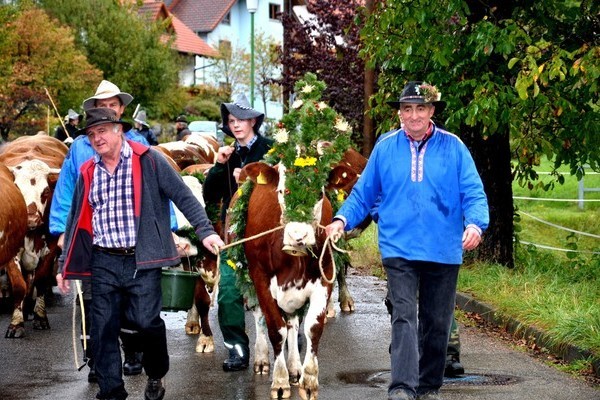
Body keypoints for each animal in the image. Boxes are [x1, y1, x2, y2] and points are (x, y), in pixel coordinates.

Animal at [225, 161, 356, 398]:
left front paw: (308, 380)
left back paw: (295, 368)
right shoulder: (261, 278)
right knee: (260, 317)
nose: (298, 237)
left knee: (293, 324)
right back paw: (261, 359)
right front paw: (279, 381)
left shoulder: (324, 277)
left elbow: (312, 327)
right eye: (281, 191)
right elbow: (276, 330)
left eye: (320, 193)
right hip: (249, 279)